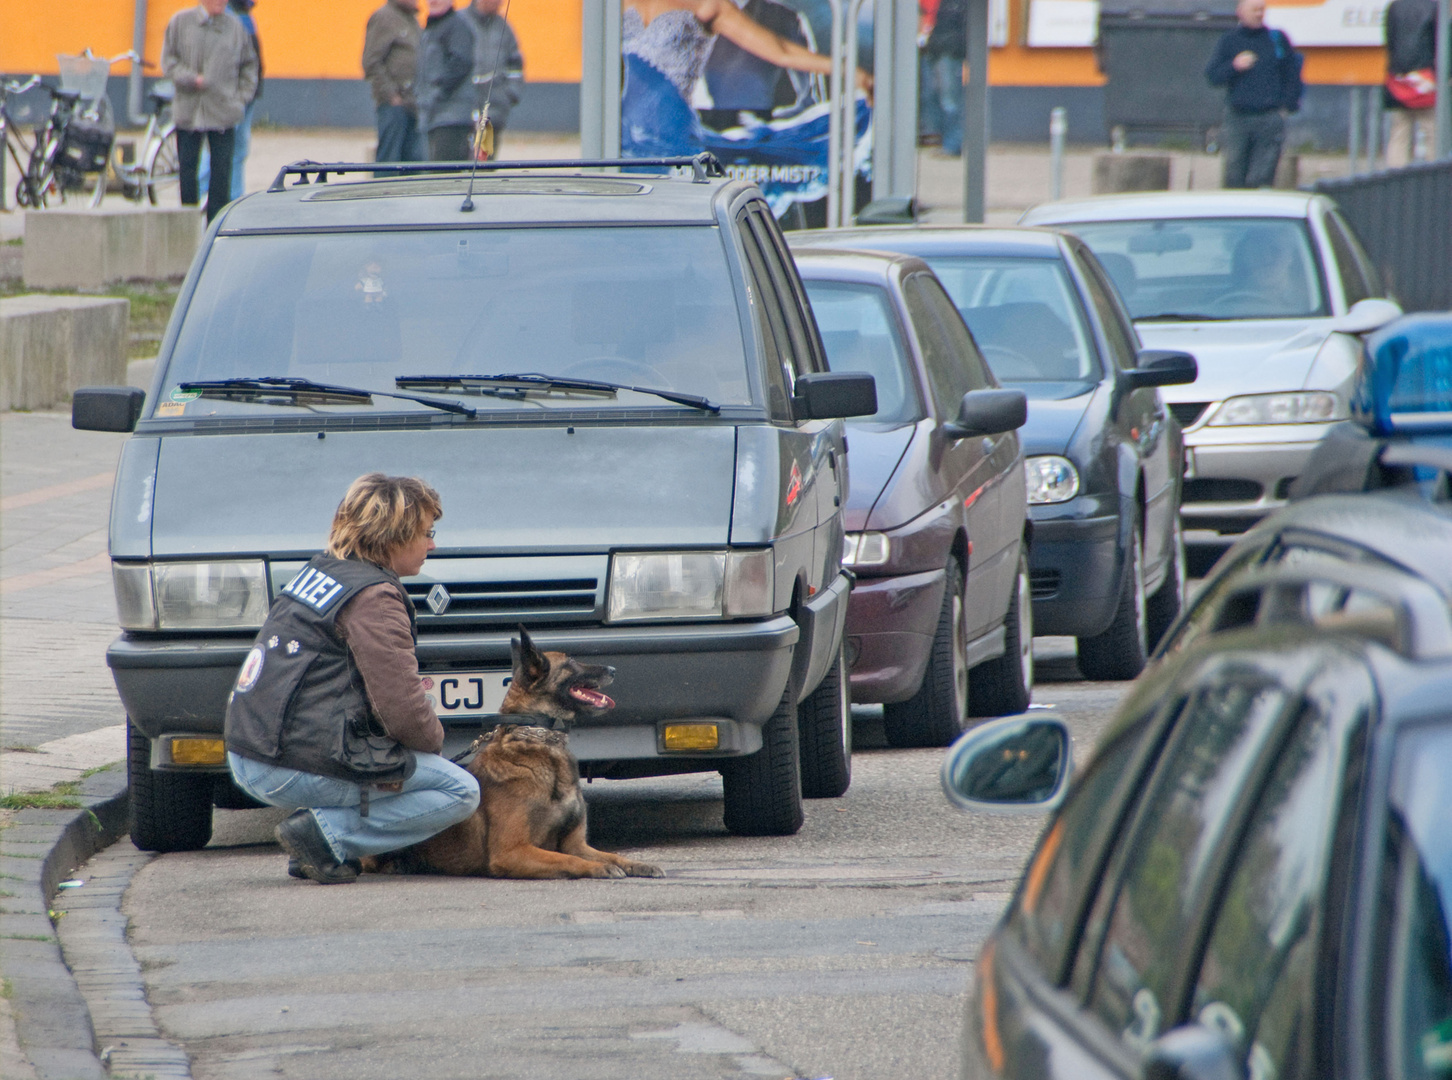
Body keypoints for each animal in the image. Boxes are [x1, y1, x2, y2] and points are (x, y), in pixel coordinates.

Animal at [360, 624, 662, 876]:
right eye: (571, 663)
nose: (613, 669)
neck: (541, 741)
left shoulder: (576, 844)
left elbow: (608, 855)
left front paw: (636, 864)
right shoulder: (513, 852)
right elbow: (567, 859)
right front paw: (595, 868)